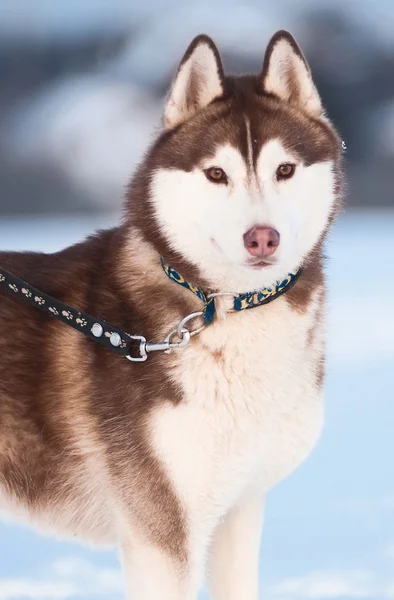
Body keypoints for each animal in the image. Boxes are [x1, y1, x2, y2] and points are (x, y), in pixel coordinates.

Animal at [0, 32, 342, 600]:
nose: (262, 237)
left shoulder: (238, 509)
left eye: (285, 169)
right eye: (217, 173)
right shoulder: (161, 535)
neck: (219, 309)